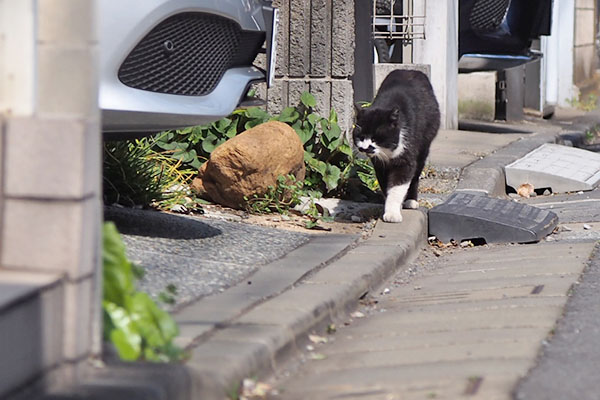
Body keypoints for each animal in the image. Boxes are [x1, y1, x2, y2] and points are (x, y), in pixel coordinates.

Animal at [352, 70, 440, 223]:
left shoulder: (405, 158)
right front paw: (391, 207)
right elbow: (385, 184)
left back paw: (411, 201)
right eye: (360, 137)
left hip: (424, 146)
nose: (364, 148)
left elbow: (398, 186)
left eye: (375, 138)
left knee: (416, 175)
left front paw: (392, 213)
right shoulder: (379, 165)